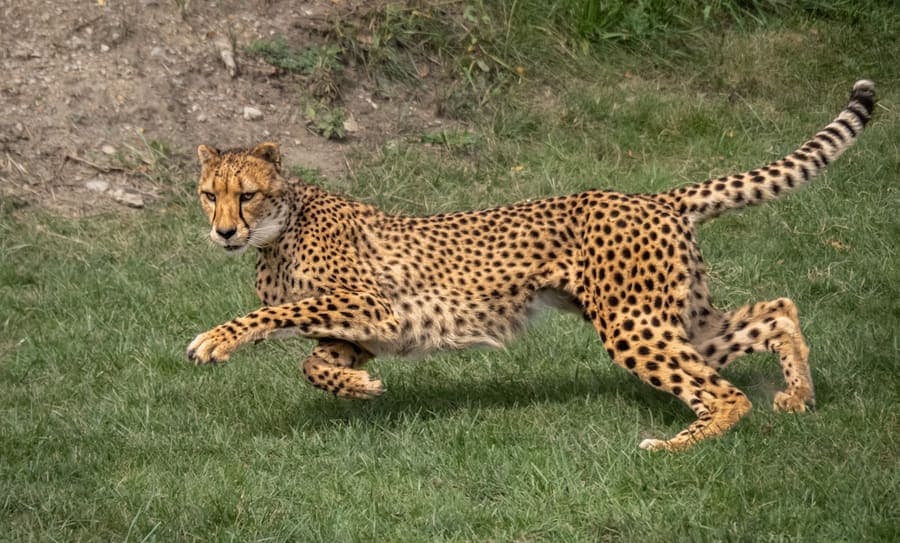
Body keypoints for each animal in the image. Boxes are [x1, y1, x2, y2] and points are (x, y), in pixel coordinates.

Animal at [188, 80, 875, 451]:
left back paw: (678, 445)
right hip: (677, 316)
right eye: (207, 194)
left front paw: (214, 342)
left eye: (245, 194)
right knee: (777, 310)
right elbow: (313, 362)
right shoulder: (369, 329)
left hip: (633, 325)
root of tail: (650, 196)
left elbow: (272, 319)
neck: (278, 229)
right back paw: (798, 395)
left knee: (727, 392)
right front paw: (359, 387)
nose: (223, 232)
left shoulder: (373, 307)